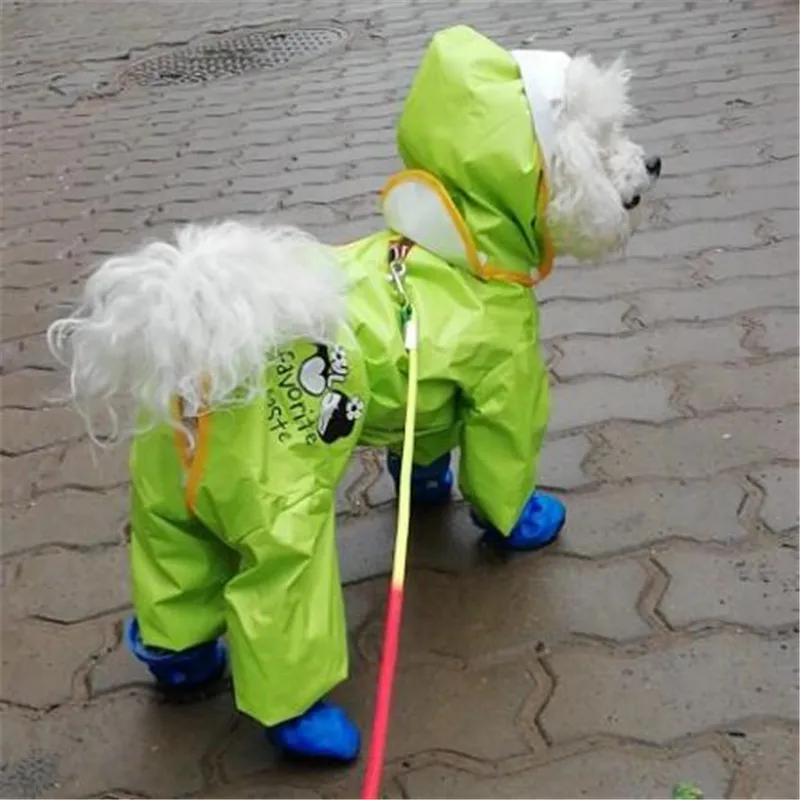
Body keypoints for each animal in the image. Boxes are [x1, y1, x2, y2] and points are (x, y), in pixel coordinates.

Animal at [47, 25, 660, 764]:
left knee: (174, 594)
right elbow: (501, 471)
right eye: (602, 139)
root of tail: (199, 360)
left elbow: (423, 454)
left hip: (167, 512)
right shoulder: (504, 388)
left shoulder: (431, 395)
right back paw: (313, 731)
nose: (654, 161)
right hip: (283, 517)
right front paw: (526, 527)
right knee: (277, 616)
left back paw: (185, 672)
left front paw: (425, 495)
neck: (457, 244)